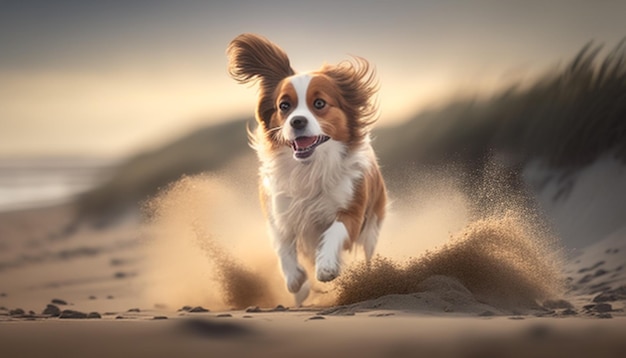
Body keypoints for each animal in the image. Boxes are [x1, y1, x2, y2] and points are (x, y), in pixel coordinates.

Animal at [227, 34, 386, 302]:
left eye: (319, 103)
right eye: (284, 106)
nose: (297, 121)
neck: (309, 167)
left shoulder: (353, 209)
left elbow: (335, 231)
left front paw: (327, 267)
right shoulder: (278, 210)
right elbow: (282, 244)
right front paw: (295, 280)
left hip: (373, 228)